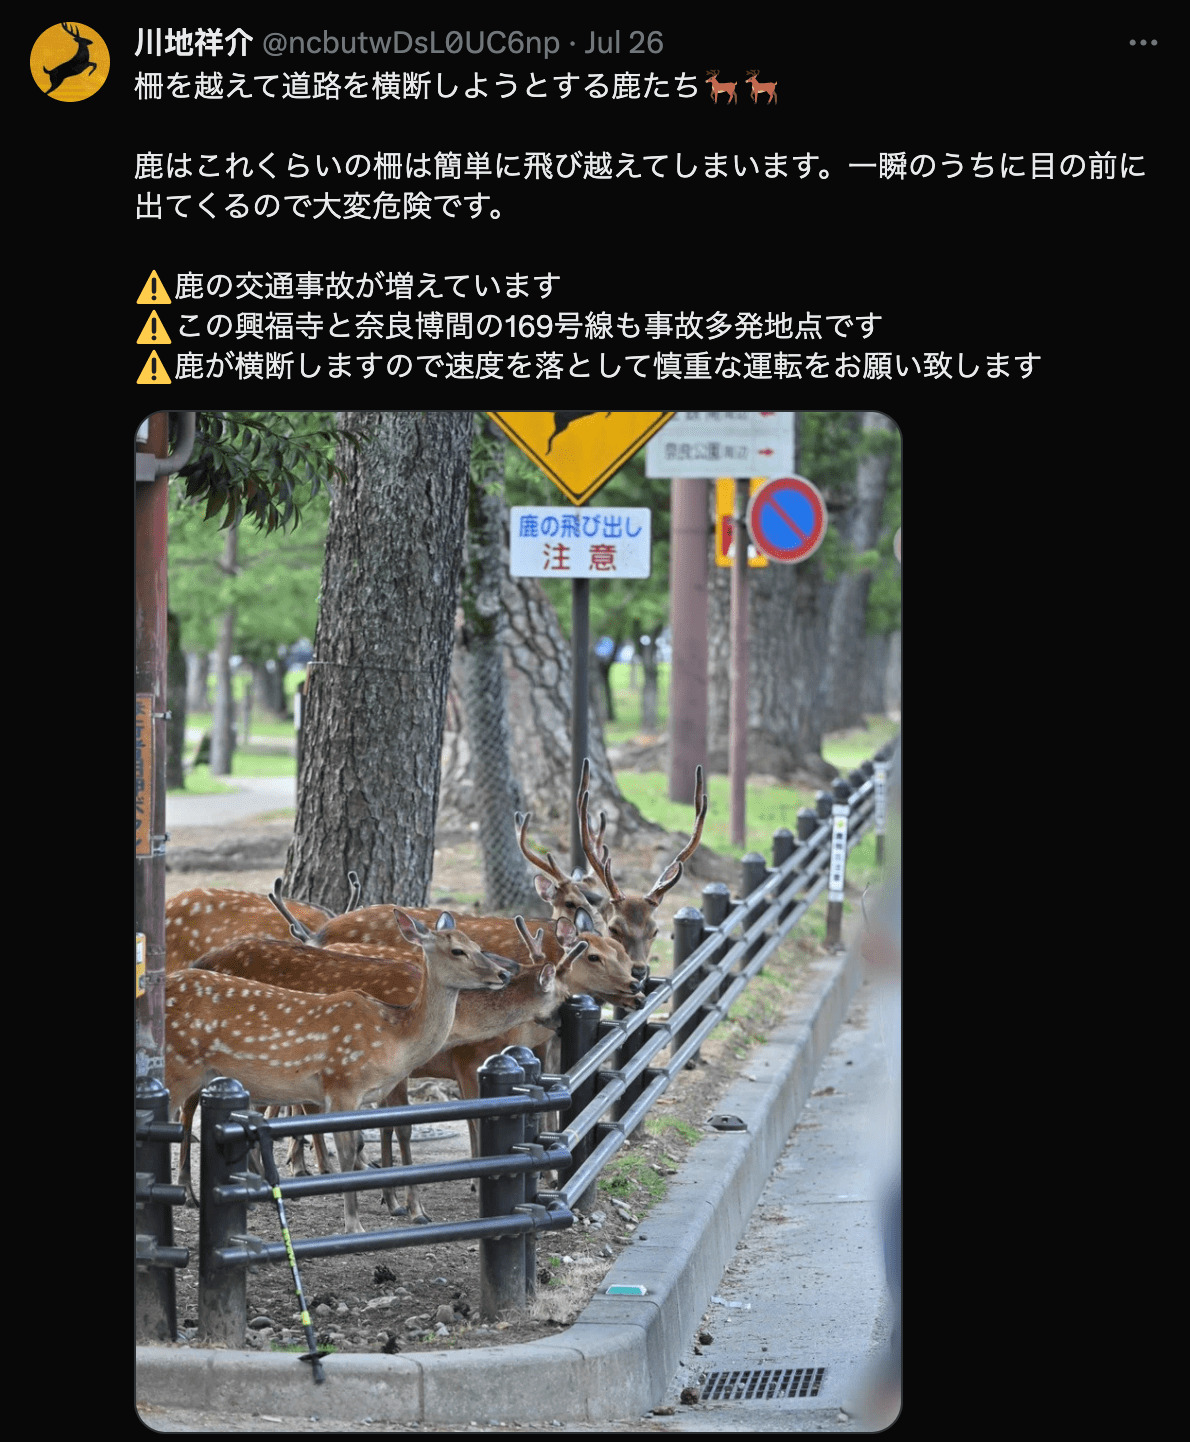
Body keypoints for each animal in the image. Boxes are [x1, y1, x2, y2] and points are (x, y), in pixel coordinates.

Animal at [168, 911, 516, 1228]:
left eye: (477, 944)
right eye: (457, 950)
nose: (503, 974)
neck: (394, 1038)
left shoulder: (360, 1095)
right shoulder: (342, 1084)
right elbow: (348, 1154)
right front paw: (354, 1225)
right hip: (177, 1069)